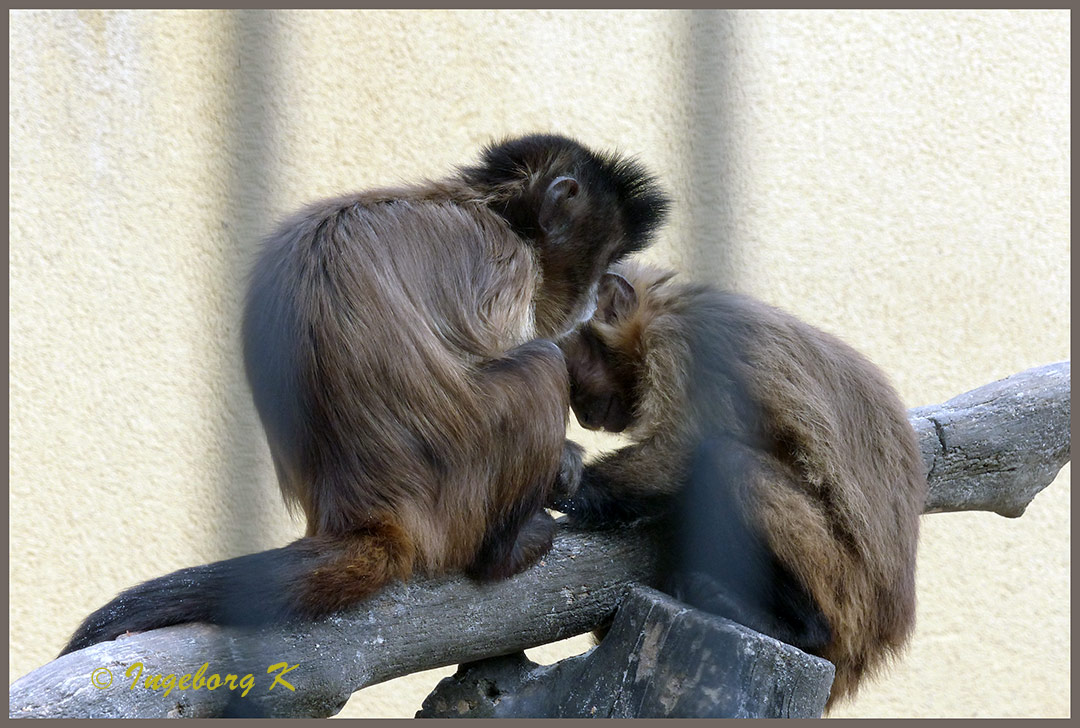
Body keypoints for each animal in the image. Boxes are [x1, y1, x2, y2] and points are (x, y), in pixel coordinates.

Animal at [59, 134, 669, 652]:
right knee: (541, 366)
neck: (487, 206)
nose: (591, 300)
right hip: (456, 498)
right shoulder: (506, 260)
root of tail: (361, 509)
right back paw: (504, 551)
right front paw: (567, 464)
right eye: (602, 259)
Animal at [552, 259, 924, 704]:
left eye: (575, 378)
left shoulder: (680, 343)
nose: (584, 415)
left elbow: (681, 451)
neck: (668, 307)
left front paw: (559, 488)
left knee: (724, 460)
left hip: (848, 591)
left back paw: (803, 629)